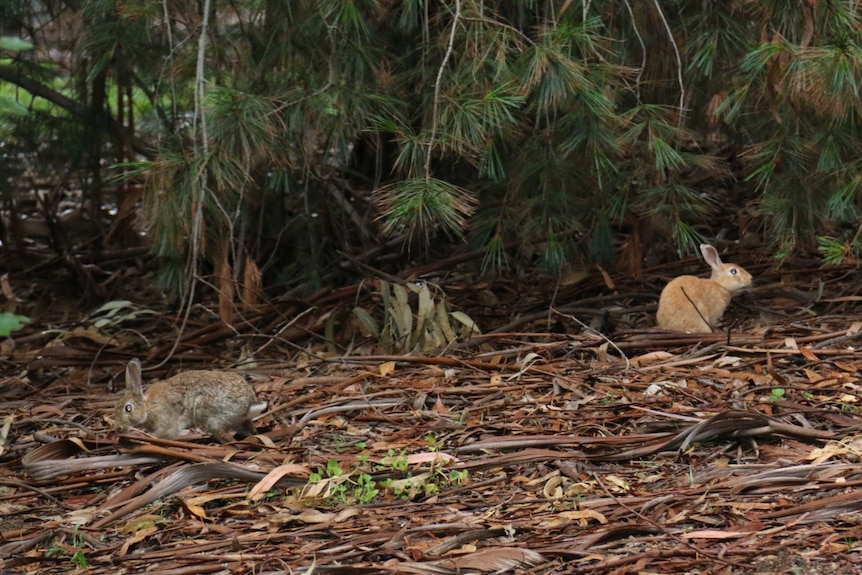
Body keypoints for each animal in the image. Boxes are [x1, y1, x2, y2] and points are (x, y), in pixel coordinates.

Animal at [113, 358, 266, 444]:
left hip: (213, 418)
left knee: (225, 436)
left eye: (128, 408)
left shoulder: (166, 421)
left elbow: (163, 433)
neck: (147, 407)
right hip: (237, 421)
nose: (118, 429)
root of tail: (248, 405)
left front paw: (143, 436)